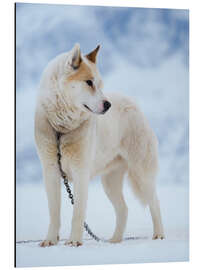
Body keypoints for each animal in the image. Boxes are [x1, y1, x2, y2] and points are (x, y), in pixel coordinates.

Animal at [34, 43, 165, 247]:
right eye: (88, 82)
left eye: (100, 84)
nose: (108, 105)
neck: (62, 129)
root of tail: (133, 103)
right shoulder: (51, 172)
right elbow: (54, 213)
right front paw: (50, 240)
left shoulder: (81, 172)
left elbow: (77, 214)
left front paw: (74, 241)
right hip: (110, 182)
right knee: (123, 209)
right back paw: (115, 241)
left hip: (141, 173)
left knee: (155, 202)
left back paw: (159, 235)